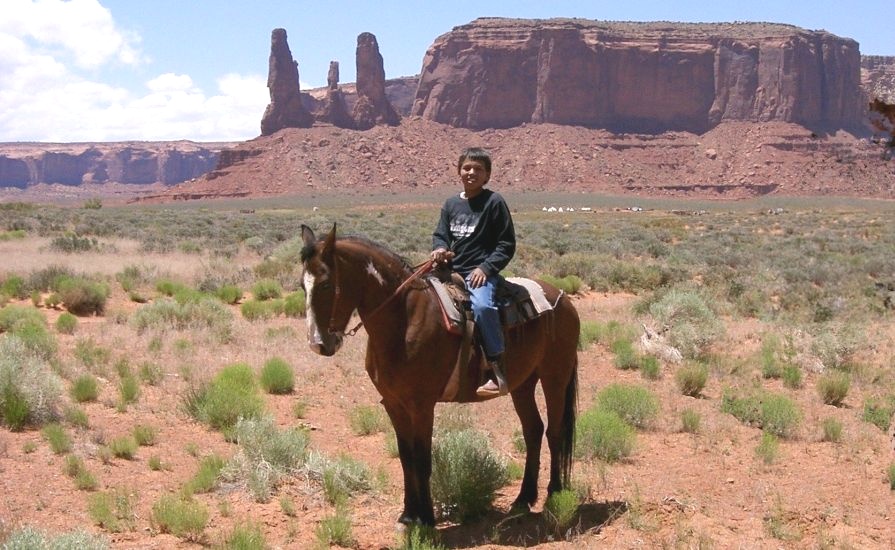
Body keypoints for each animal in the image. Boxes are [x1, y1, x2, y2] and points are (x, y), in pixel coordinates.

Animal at [300, 225, 580, 532]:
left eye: (326, 284)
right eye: (303, 286)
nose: (318, 344)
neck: (403, 322)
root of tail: (564, 298)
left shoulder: (422, 405)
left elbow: (423, 459)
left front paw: (426, 519)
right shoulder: (394, 404)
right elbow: (406, 457)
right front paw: (408, 515)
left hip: (555, 376)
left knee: (554, 431)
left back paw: (555, 494)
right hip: (522, 384)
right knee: (533, 430)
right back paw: (523, 499)